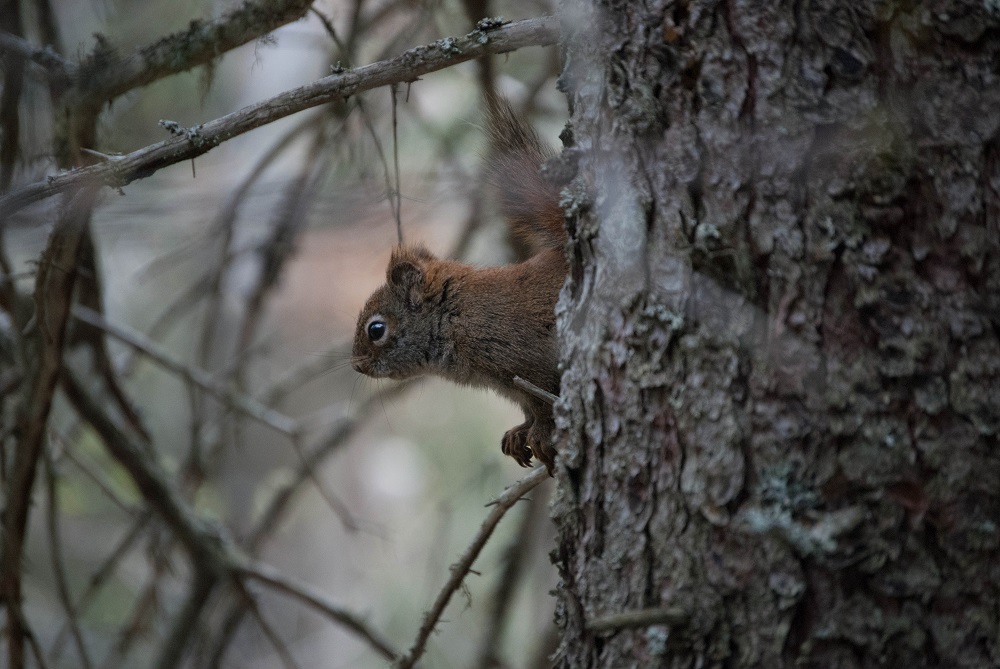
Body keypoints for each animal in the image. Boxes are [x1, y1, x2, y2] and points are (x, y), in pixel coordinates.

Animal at [352, 96, 568, 474]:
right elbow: (530, 407)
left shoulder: (530, 360)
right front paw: (520, 433)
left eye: (375, 329)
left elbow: (543, 402)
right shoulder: (516, 387)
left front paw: (540, 433)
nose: (357, 365)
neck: (458, 314)